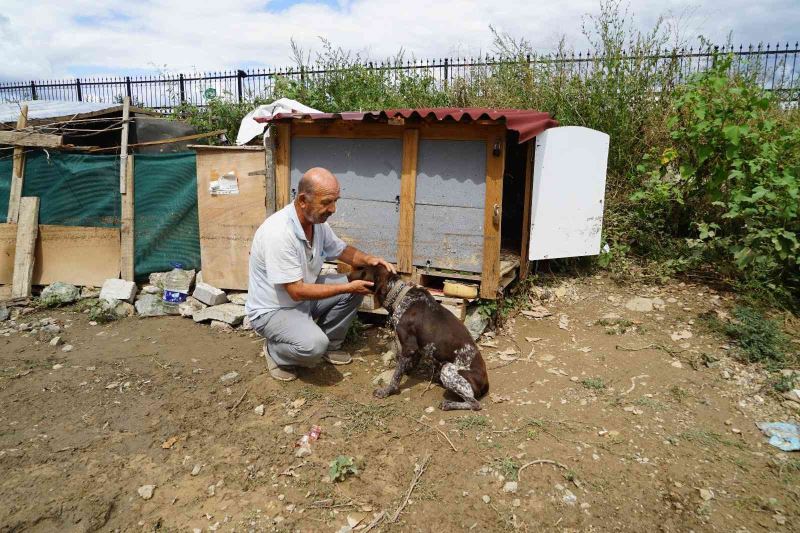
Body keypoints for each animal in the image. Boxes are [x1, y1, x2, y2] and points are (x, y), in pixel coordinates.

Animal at [348, 264, 488, 410]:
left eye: (363, 271)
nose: (346, 275)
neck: (401, 297)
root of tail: (485, 382)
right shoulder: (418, 348)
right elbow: (407, 364)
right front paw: (407, 369)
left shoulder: (409, 347)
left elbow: (396, 376)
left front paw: (387, 391)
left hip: (448, 370)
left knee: (475, 403)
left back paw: (449, 404)